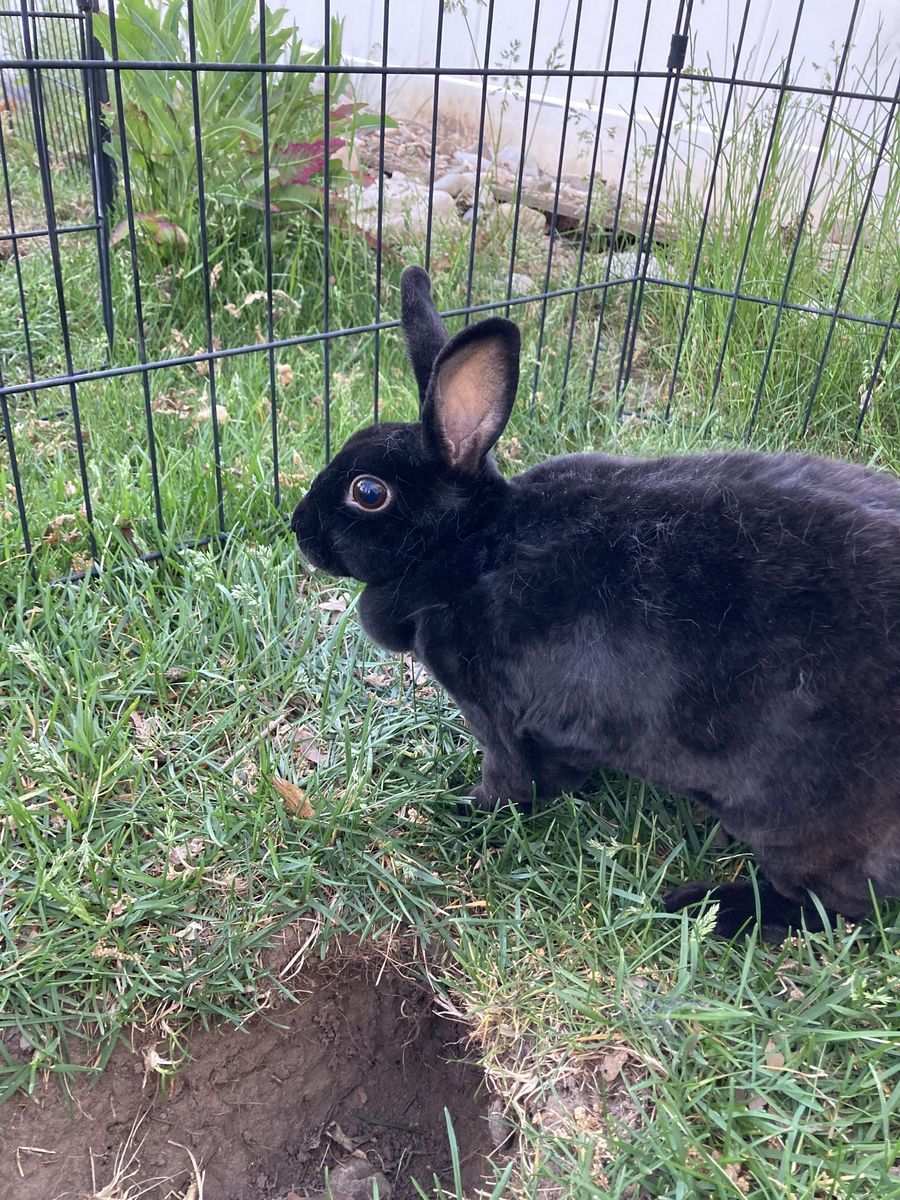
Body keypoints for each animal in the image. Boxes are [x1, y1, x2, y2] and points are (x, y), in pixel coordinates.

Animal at [291, 265, 900, 938]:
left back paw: (712, 907)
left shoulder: (496, 713)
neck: (470, 542)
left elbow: (512, 777)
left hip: (793, 820)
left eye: (368, 492)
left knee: (841, 904)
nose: (297, 527)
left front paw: (464, 810)